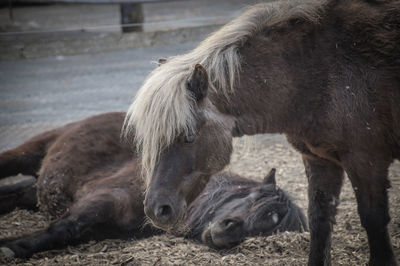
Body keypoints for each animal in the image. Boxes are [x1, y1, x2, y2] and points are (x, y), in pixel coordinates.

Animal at [0, 112, 306, 258]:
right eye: (254, 197)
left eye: (271, 228)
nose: (230, 230)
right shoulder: (104, 198)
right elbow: (63, 228)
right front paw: (12, 247)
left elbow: (64, 233)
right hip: (31, 151)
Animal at [125, 1, 400, 264]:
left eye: (188, 136)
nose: (156, 209)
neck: (317, 72)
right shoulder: (319, 160)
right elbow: (320, 223)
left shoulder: (366, 161)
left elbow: (374, 221)